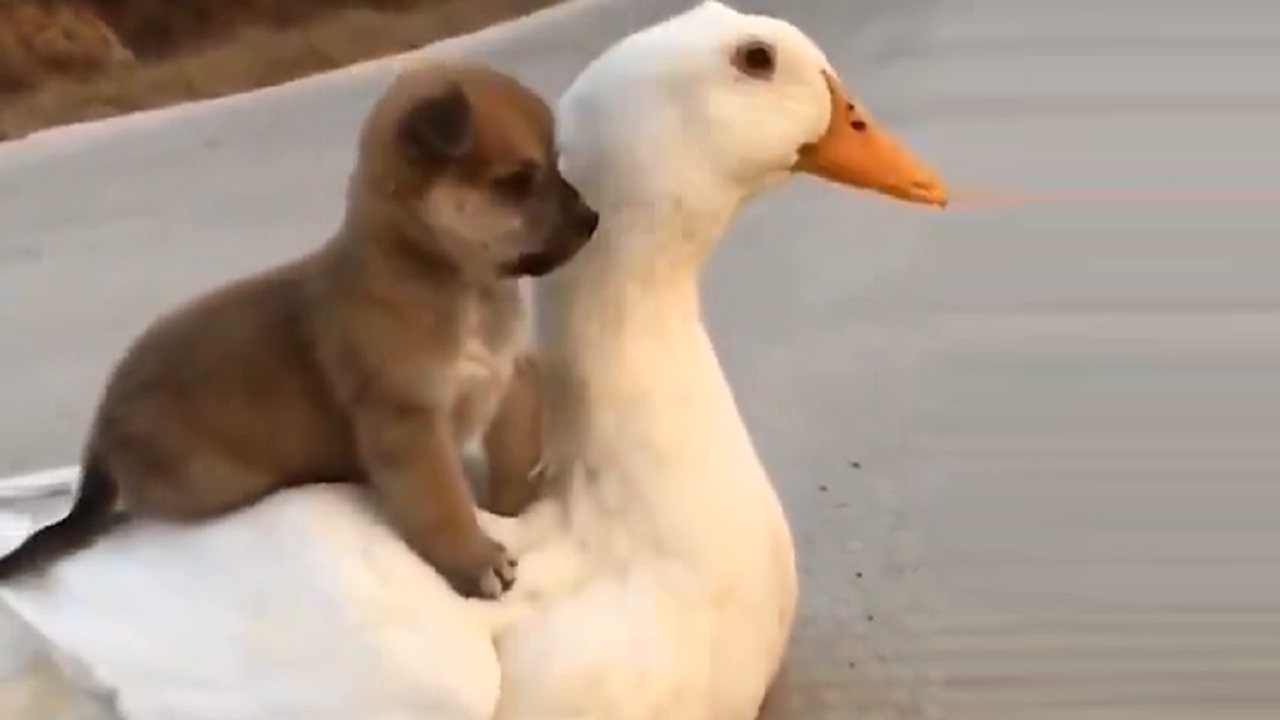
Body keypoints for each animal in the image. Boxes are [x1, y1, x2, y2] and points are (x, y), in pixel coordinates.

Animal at [0, 61, 599, 597]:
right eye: (516, 182)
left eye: (556, 162)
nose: (592, 220)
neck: (452, 281)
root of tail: (103, 425)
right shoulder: (407, 425)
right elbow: (442, 504)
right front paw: (474, 561)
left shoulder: (507, 380)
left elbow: (514, 461)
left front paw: (515, 513)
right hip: (215, 478)